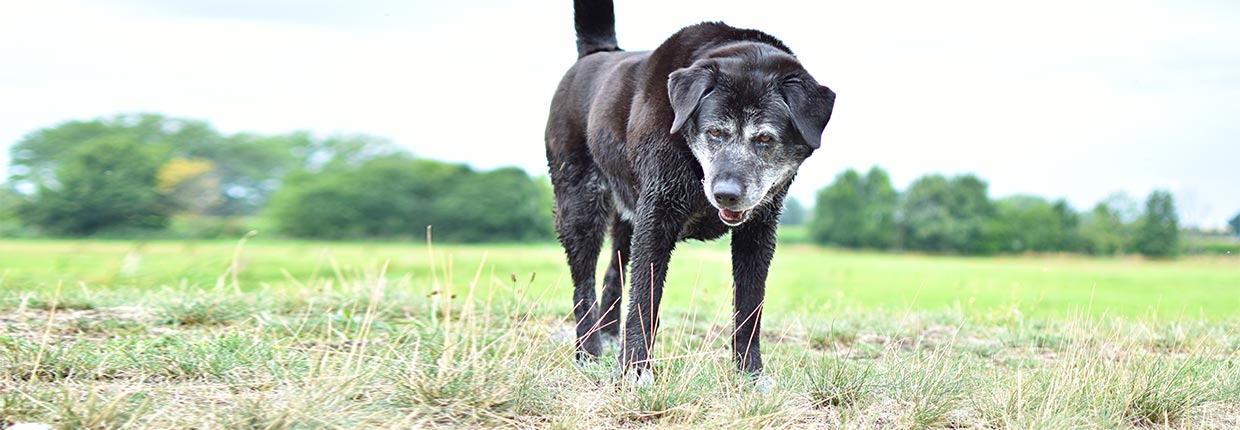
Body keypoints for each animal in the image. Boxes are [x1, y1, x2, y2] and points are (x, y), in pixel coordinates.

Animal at [548, 0, 838, 381]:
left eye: (764, 138)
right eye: (714, 132)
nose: (726, 193)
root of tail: (597, 53)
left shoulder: (759, 230)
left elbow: (750, 307)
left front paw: (749, 375)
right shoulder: (657, 216)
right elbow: (644, 299)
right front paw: (634, 371)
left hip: (627, 215)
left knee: (614, 270)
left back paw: (608, 337)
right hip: (580, 206)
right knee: (584, 285)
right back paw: (588, 352)